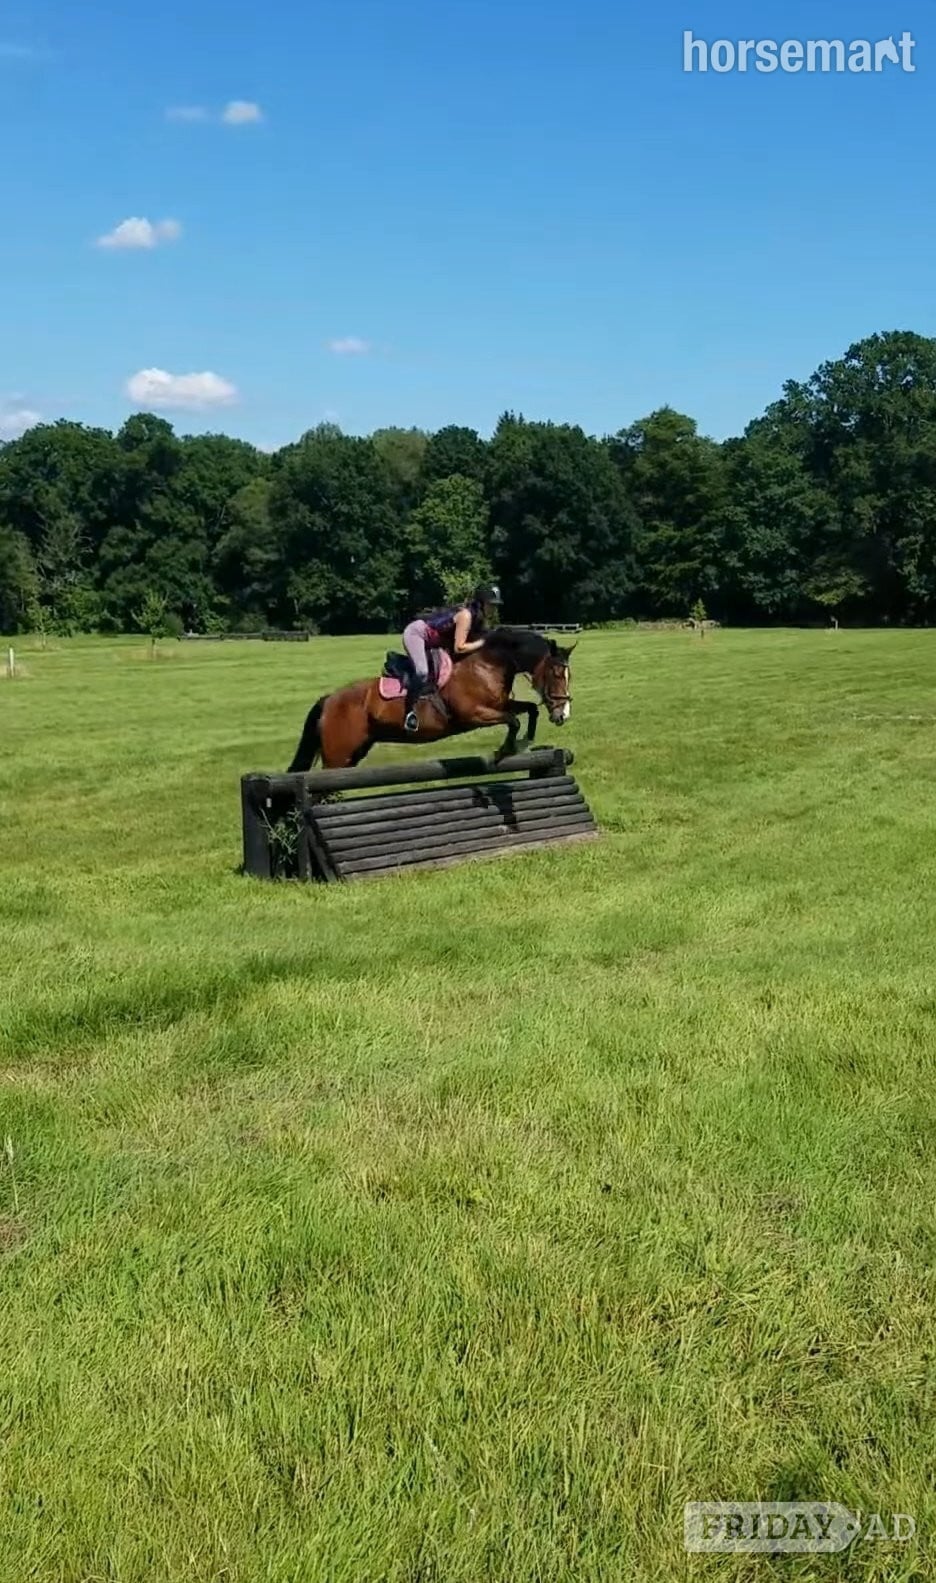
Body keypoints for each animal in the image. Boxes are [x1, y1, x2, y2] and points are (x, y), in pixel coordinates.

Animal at [286, 627, 576, 771]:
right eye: (556, 673)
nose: (563, 715)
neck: (487, 665)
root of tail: (328, 700)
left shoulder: (500, 705)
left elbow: (529, 709)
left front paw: (525, 742)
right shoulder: (474, 714)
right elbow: (513, 720)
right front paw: (505, 750)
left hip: (355, 752)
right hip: (337, 756)